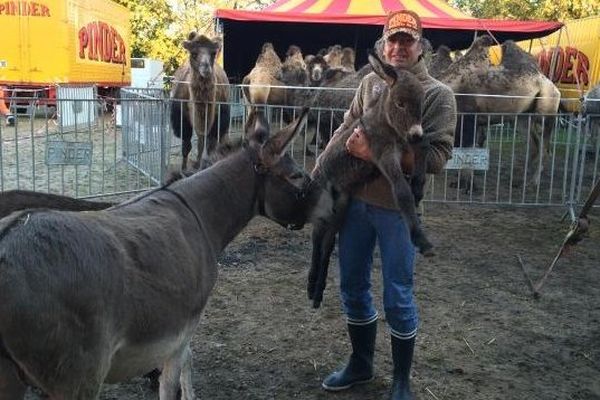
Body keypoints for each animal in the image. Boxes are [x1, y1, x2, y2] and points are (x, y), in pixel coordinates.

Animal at [172, 32, 233, 172]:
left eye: (213, 53)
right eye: (193, 53)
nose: (206, 68)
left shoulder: (218, 118)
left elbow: (209, 146)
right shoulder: (182, 119)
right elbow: (186, 146)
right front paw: (184, 169)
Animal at [438, 35, 560, 187]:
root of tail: (549, 82)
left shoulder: (468, 117)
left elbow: (466, 149)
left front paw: (465, 183)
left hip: (547, 109)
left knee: (544, 146)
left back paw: (534, 182)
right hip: (522, 117)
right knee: (533, 144)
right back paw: (519, 181)